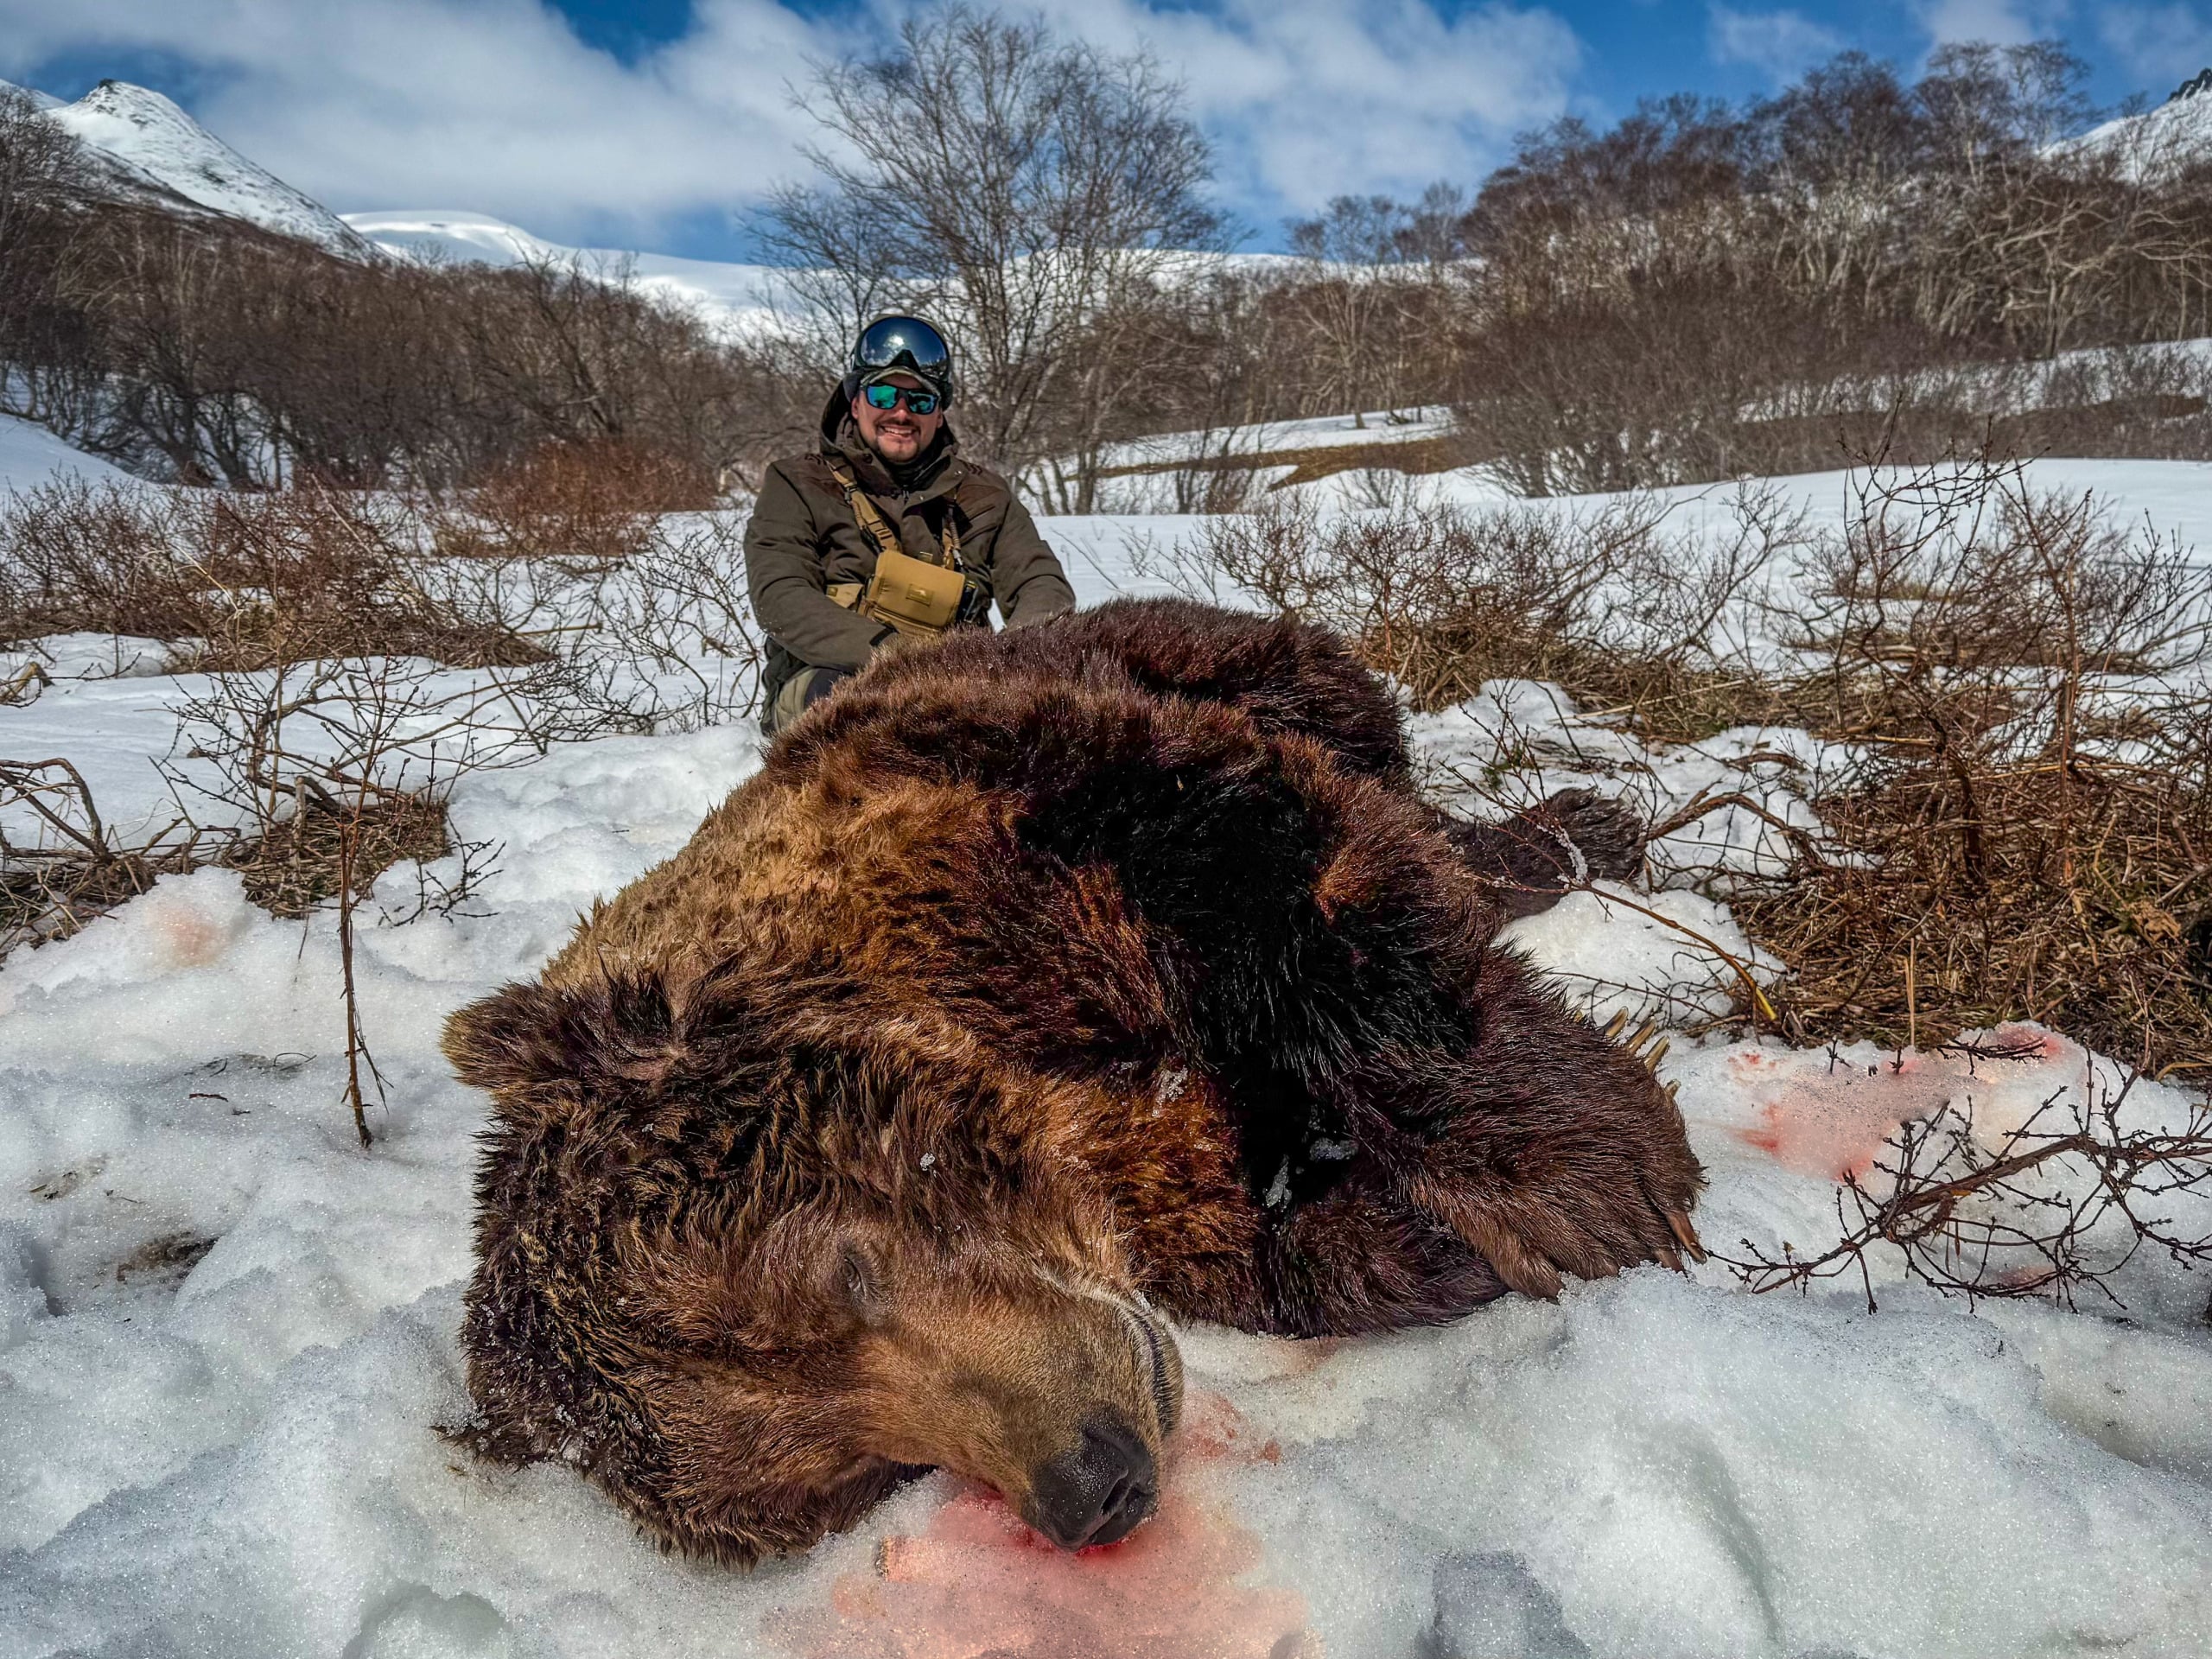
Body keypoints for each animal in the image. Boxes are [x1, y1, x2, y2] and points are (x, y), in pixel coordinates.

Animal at [443, 597, 1704, 1565]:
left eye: (845, 1274)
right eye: (872, 1468)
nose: (1090, 1483)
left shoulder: (1004, 816)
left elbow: (1291, 874)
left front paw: (1586, 1174)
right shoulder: (1158, 1190)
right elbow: (1294, 1248)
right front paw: (1427, 1233)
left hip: (1189, 652)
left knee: (1356, 741)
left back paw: (1577, 829)